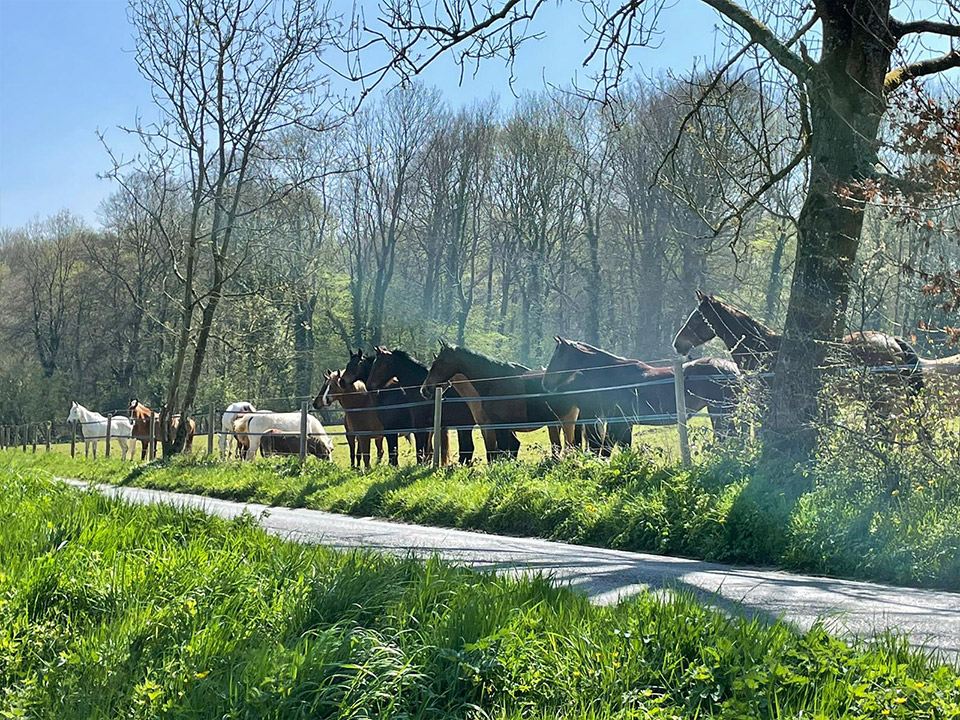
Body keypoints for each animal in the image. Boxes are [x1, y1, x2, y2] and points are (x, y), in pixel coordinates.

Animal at [418, 340, 576, 458]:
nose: (424, 389)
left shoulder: (499, 426)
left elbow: (501, 450)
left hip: (567, 421)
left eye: (439, 362)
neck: (494, 383)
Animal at [540, 334, 744, 442]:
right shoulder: (625, 424)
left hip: (720, 412)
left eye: (557, 356)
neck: (613, 375)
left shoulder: (619, 422)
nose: (545, 384)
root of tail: (733, 369)